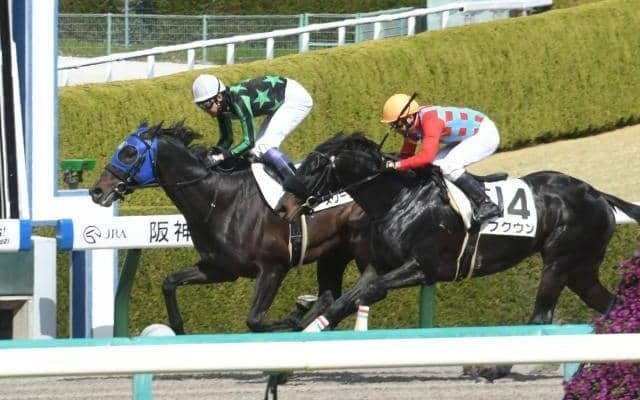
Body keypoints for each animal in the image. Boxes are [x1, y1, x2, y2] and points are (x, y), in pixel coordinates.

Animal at [89, 122, 370, 334]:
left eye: (128, 153)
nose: (97, 191)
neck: (220, 199)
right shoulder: (221, 268)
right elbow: (170, 283)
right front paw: (178, 328)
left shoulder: (273, 267)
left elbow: (254, 320)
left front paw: (294, 316)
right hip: (334, 255)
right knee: (329, 298)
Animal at [279, 132, 640, 336]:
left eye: (313, 167)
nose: (283, 207)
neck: (400, 199)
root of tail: (598, 194)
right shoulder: (379, 265)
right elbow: (343, 301)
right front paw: (306, 331)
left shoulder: (424, 267)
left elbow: (369, 293)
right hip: (581, 269)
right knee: (610, 303)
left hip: (560, 260)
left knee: (541, 315)